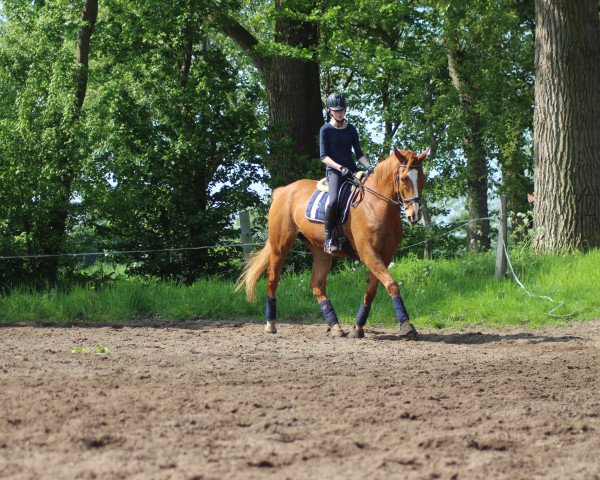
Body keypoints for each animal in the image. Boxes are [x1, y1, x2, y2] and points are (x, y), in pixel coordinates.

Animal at [237, 146, 428, 338]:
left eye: (422, 178)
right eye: (403, 179)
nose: (414, 215)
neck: (376, 205)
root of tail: (283, 190)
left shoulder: (385, 256)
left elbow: (372, 290)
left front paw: (357, 328)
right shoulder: (368, 253)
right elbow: (392, 285)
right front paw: (406, 326)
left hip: (320, 250)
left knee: (317, 285)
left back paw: (335, 326)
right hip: (280, 245)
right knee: (273, 278)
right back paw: (270, 324)